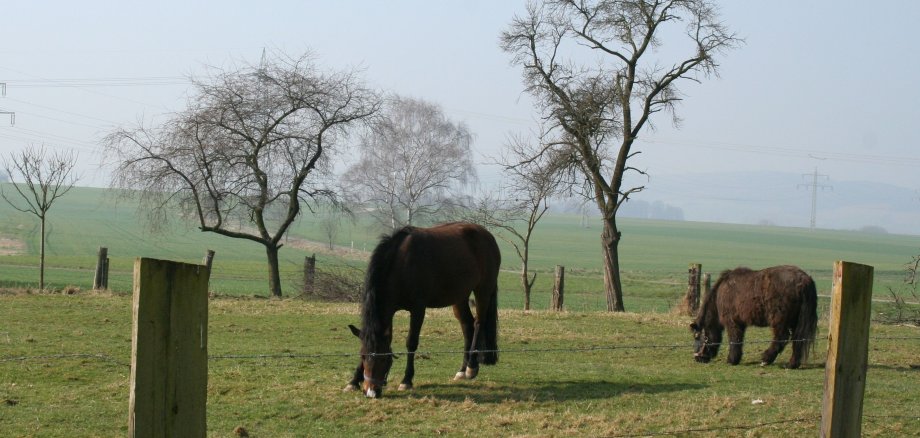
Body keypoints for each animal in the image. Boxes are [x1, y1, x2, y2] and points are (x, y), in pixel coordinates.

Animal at [346, 222, 504, 396]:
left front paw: (406, 380)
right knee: (467, 325)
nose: (371, 392)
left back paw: (471, 367)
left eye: (382, 358)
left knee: (478, 323)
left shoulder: (418, 309)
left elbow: (411, 343)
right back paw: (462, 370)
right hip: (460, 296)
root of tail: (486, 235)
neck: (401, 265)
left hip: (483, 290)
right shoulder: (390, 311)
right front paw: (353, 381)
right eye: (363, 356)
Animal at [688, 266, 820, 368]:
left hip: (780, 320)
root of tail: (804, 279)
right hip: (795, 322)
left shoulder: (732, 323)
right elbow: (739, 340)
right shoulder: (740, 324)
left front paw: (731, 360)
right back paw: (791, 364)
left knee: (782, 337)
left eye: (696, 336)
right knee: (797, 340)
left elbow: (734, 340)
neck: (719, 296)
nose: (698, 358)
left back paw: (766, 359)